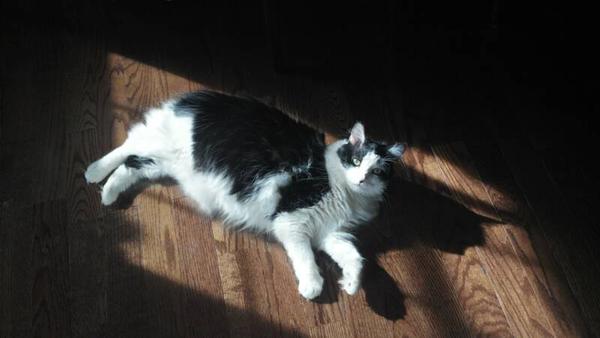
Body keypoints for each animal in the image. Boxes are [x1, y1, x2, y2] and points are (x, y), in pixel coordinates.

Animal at [86, 90, 406, 298]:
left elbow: (354, 257)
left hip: (163, 163)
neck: (344, 192)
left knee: (130, 167)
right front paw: (313, 287)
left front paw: (351, 285)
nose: (362, 178)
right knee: (126, 147)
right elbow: (305, 257)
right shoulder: (292, 221)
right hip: (157, 143)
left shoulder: (330, 233)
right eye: (356, 161)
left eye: (377, 171)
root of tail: (193, 97)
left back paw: (108, 194)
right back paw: (93, 171)